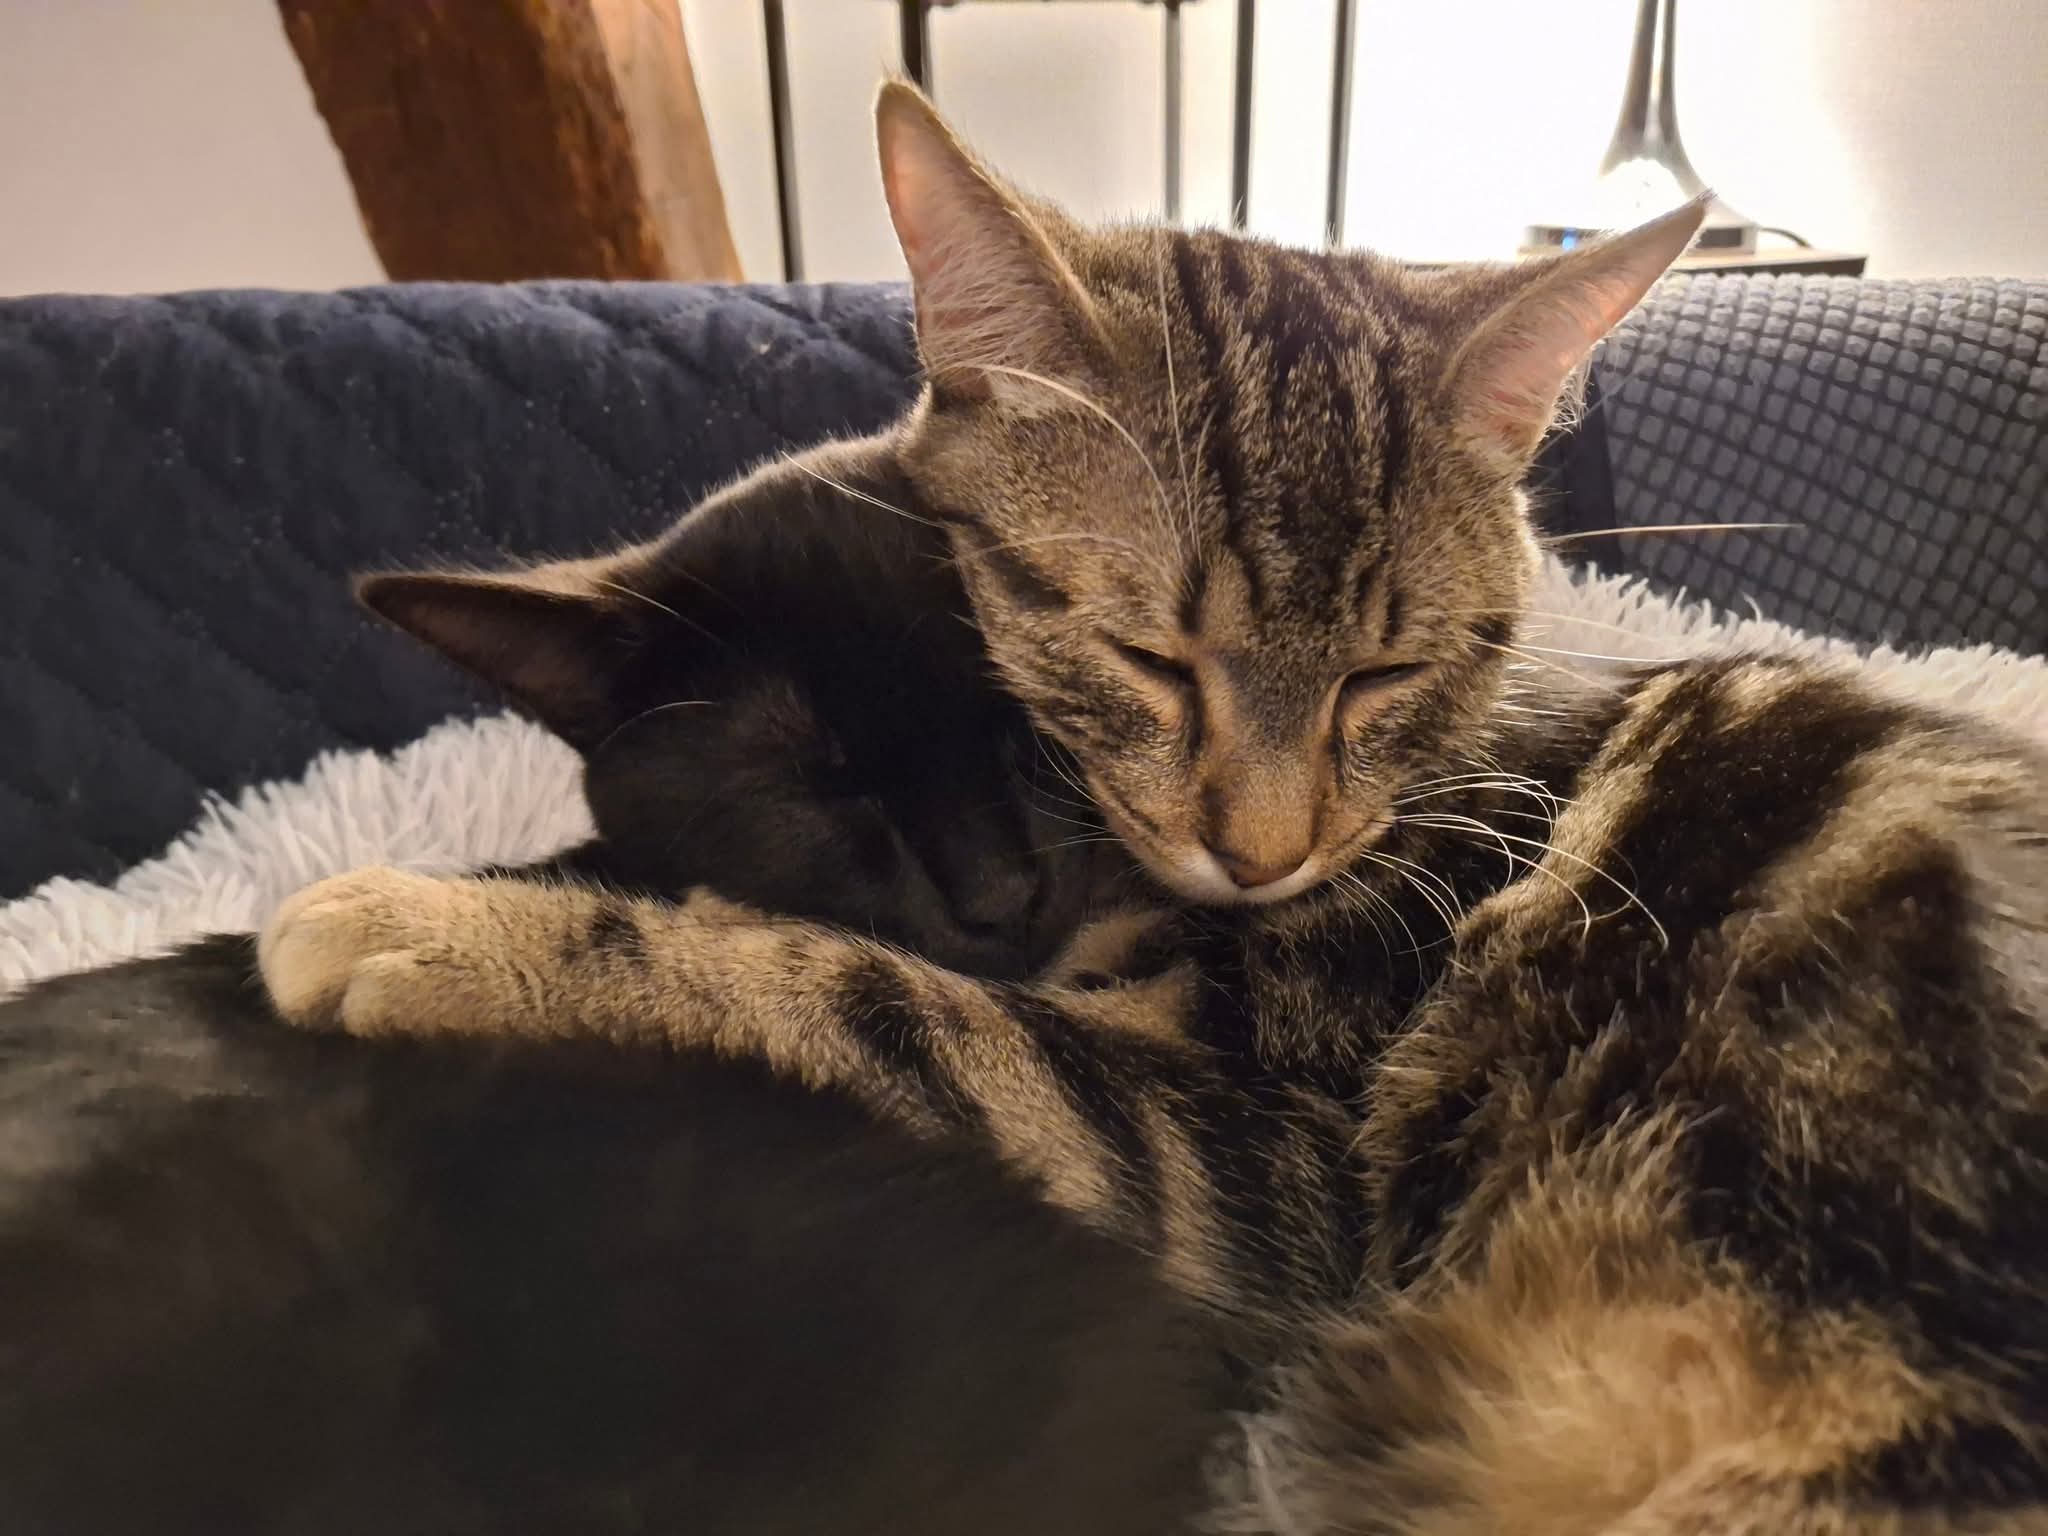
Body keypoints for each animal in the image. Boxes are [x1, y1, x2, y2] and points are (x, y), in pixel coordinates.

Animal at [256, 85, 2048, 1531]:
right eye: (1146, 662)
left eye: (1382, 675)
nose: (1263, 849)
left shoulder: (1274, 1164)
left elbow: (872, 995)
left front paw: (442, 922)